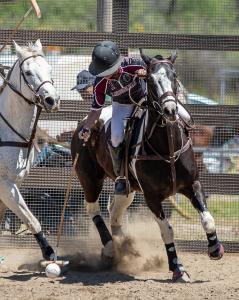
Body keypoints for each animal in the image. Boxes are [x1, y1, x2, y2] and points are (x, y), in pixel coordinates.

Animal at [0, 39, 59, 260]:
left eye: (49, 68)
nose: (53, 99)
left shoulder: (15, 182)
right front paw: (49, 252)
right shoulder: (4, 184)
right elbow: (30, 218)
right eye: (28, 72)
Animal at [71, 50, 224, 282]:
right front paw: (177, 268)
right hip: (89, 179)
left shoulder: (193, 184)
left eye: (174, 76)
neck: (167, 148)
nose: (170, 110)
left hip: (127, 189)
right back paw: (110, 248)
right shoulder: (152, 197)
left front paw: (215, 249)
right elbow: (166, 230)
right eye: (150, 80)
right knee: (94, 209)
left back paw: (124, 248)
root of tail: (83, 124)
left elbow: (207, 219)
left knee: (114, 211)